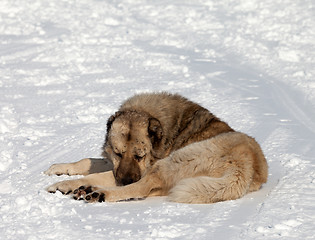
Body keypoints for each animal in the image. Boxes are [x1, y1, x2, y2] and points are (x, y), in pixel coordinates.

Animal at [45, 93, 270, 203]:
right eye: (118, 153)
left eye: (140, 156)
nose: (125, 180)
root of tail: (246, 167)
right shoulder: (114, 164)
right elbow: (89, 161)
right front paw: (60, 168)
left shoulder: (141, 168)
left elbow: (97, 174)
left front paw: (65, 184)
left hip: (176, 160)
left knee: (142, 187)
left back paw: (98, 193)